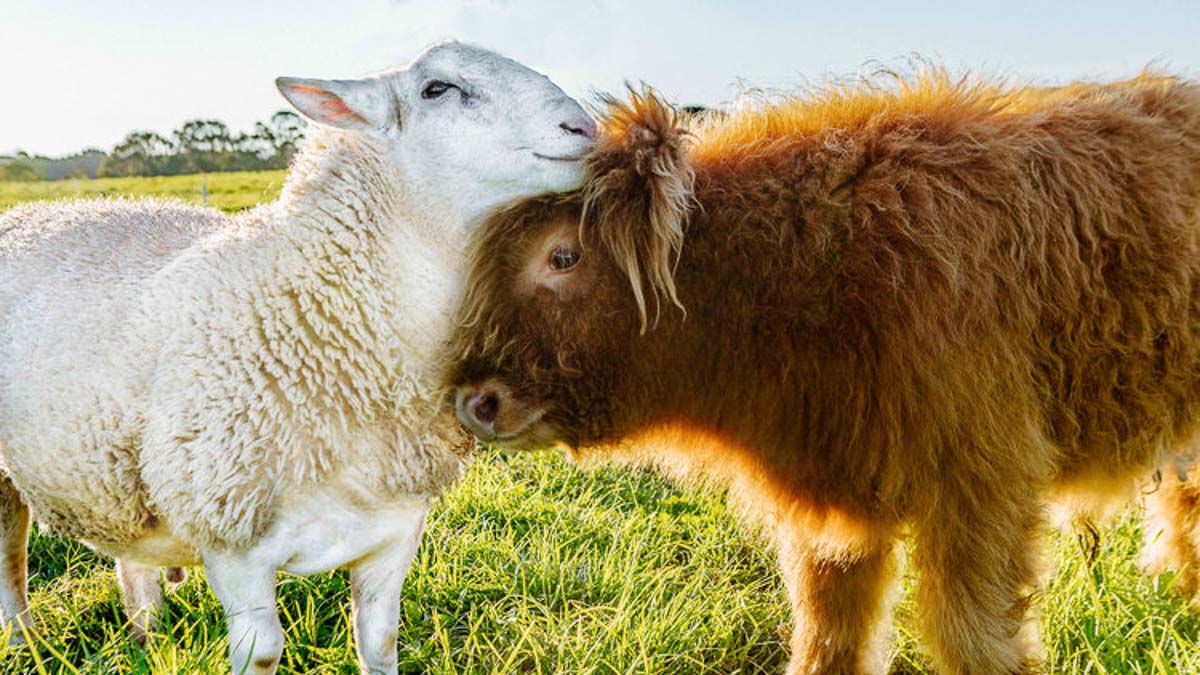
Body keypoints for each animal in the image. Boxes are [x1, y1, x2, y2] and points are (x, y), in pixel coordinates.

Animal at [0, 43, 595, 672]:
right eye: (437, 89)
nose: (584, 127)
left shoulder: (393, 529)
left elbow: (380, 641)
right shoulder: (233, 540)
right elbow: (263, 654)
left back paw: (147, 638)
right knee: (11, 554)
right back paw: (22, 641)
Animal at [446, 70, 1200, 667]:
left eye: (562, 256)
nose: (473, 399)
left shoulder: (982, 480)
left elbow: (969, 637)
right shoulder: (834, 512)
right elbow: (828, 636)